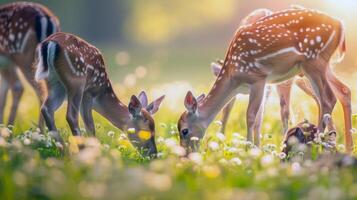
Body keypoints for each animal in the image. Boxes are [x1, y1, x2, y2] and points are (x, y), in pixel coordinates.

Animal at [35, 32, 164, 157]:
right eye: (146, 131)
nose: (153, 154)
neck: (101, 95)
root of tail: (50, 42)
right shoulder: (89, 93)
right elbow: (90, 127)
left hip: (53, 84)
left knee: (46, 109)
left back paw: (63, 152)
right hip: (77, 80)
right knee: (71, 116)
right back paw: (80, 153)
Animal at [177, 7, 350, 152]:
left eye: (184, 130)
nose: (185, 154)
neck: (234, 78)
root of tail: (340, 25)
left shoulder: (258, 77)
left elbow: (251, 116)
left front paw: (248, 151)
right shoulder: (263, 84)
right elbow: (259, 117)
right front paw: (256, 149)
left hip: (313, 61)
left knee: (328, 98)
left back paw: (317, 144)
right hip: (321, 65)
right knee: (343, 91)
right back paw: (344, 147)